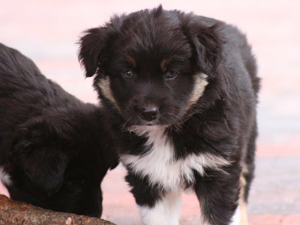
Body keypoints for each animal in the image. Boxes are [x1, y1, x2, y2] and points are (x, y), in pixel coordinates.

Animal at [78, 5, 258, 225]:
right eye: (128, 73)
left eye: (171, 73)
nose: (148, 113)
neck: (166, 133)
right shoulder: (148, 177)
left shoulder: (220, 172)